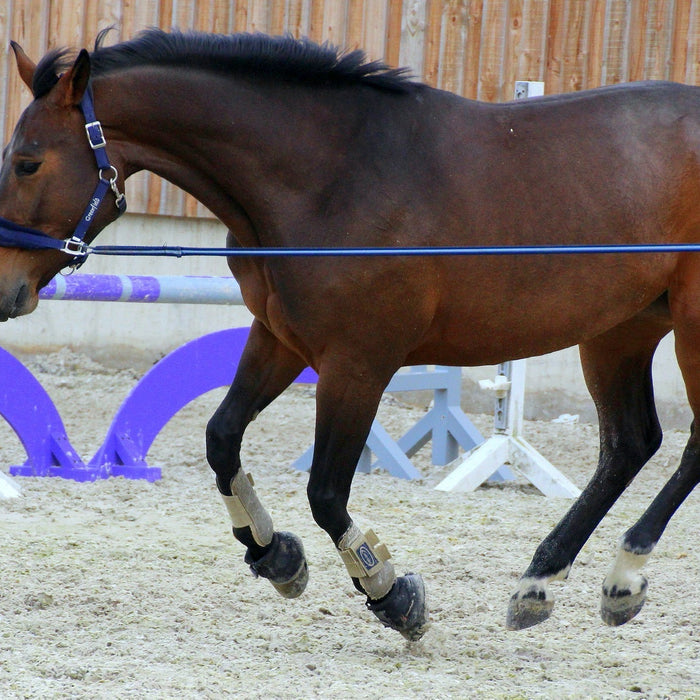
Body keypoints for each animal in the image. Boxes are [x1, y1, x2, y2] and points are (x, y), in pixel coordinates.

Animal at [0, 28, 696, 640]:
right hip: (621, 330)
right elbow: (222, 439)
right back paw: (542, 584)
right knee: (630, 443)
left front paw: (390, 594)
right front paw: (273, 553)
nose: (8, 288)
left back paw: (623, 578)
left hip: (684, 327)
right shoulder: (280, 340)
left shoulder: (359, 364)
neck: (331, 176)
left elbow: (326, 493)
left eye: (28, 163)